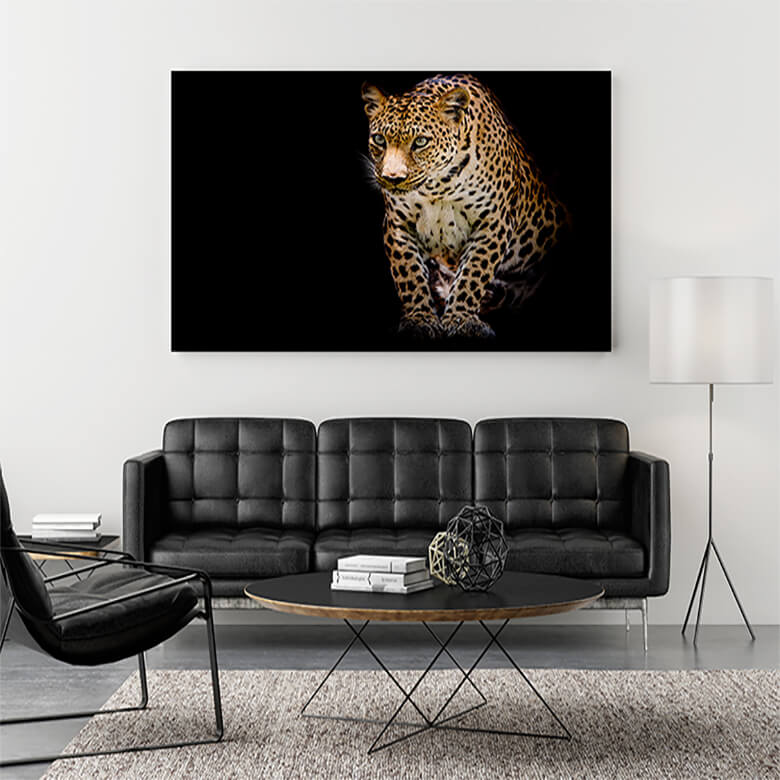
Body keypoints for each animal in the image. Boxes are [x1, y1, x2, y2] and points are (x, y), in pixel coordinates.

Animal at [361, 73, 571, 340]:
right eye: (379, 139)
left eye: (420, 142)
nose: (392, 178)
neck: (438, 186)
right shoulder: (398, 224)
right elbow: (409, 275)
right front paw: (419, 319)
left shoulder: (493, 222)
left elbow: (473, 273)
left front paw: (460, 319)